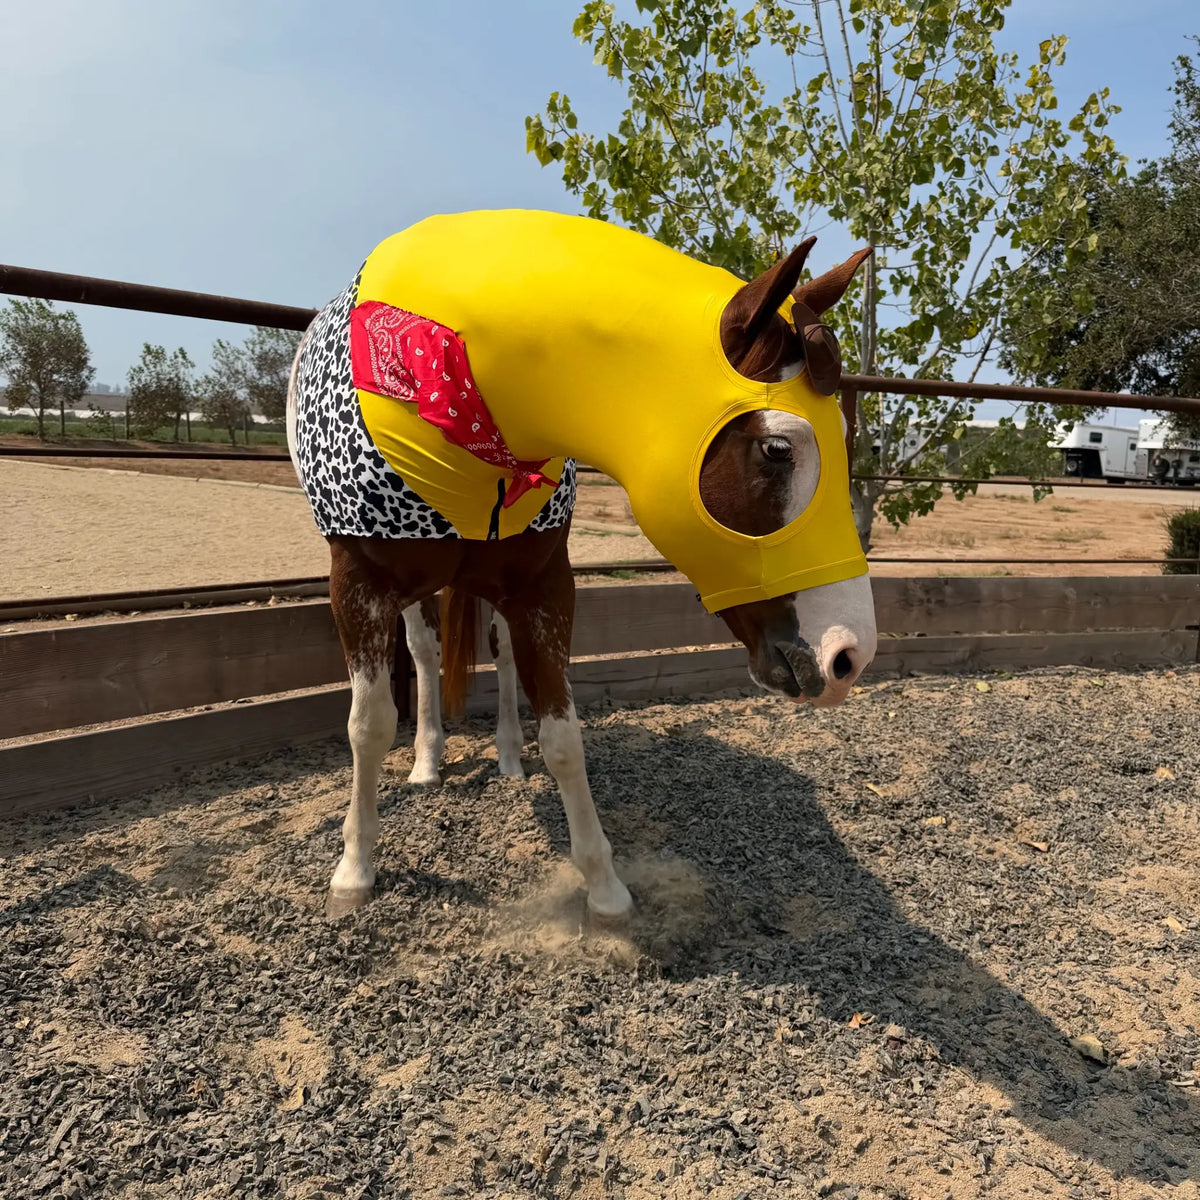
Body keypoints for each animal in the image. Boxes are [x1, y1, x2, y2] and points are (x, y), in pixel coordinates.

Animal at [286, 211, 877, 921]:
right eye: (778, 449)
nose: (849, 656)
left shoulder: (543, 588)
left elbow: (563, 737)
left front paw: (604, 885)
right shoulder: (358, 586)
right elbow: (369, 726)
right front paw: (354, 871)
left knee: (500, 655)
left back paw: (508, 756)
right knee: (426, 656)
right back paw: (428, 760)